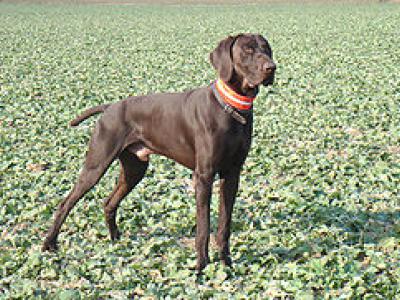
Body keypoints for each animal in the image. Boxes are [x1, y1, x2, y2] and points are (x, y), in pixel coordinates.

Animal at [43, 34, 276, 270]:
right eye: (247, 50)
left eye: (267, 49)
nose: (271, 68)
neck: (231, 107)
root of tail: (109, 108)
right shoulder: (204, 176)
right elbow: (203, 227)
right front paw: (201, 266)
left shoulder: (232, 174)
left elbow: (224, 225)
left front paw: (226, 263)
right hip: (96, 165)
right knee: (66, 203)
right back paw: (49, 244)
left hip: (135, 169)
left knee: (109, 203)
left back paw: (115, 240)